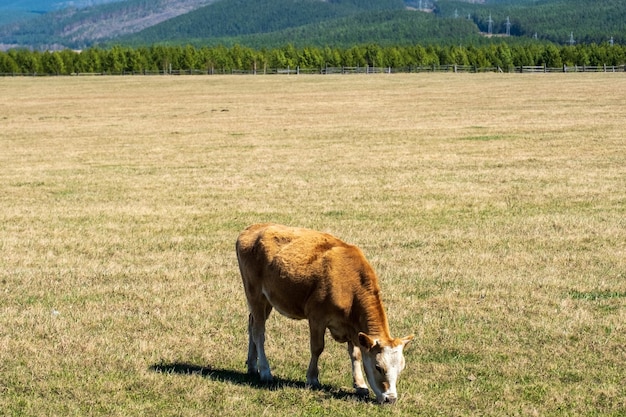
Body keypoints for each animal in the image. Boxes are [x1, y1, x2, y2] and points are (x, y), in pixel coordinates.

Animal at [234, 224, 410, 404]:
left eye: (401, 367)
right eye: (378, 367)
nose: (391, 399)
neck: (349, 285)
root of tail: (254, 228)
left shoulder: (354, 328)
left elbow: (356, 354)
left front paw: (360, 385)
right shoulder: (317, 318)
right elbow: (317, 348)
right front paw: (312, 378)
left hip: (267, 300)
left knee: (252, 324)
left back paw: (252, 366)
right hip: (254, 294)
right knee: (258, 332)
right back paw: (265, 371)